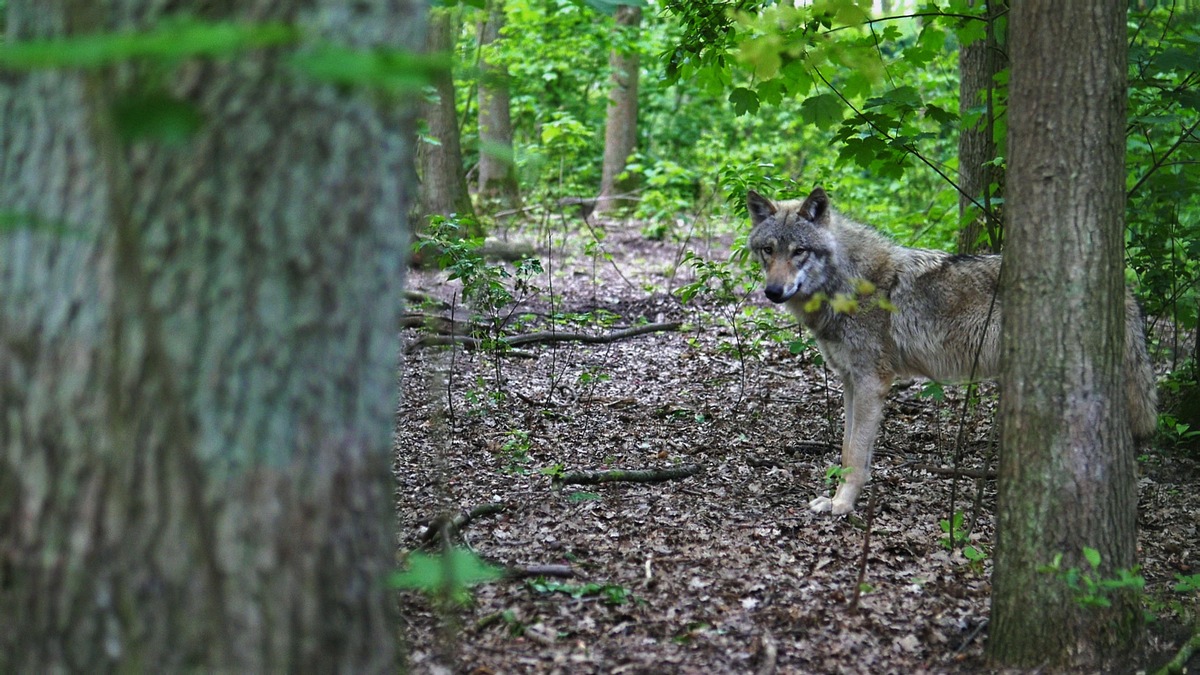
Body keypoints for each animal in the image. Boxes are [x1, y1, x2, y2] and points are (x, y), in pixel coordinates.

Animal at [744, 186, 1156, 511]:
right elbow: (846, 449)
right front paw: (833, 499)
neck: (847, 283)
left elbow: (855, 454)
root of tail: (1120, 286)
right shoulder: (849, 382)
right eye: (768, 250)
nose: (773, 292)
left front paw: (843, 505)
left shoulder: (871, 383)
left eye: (799, 251)